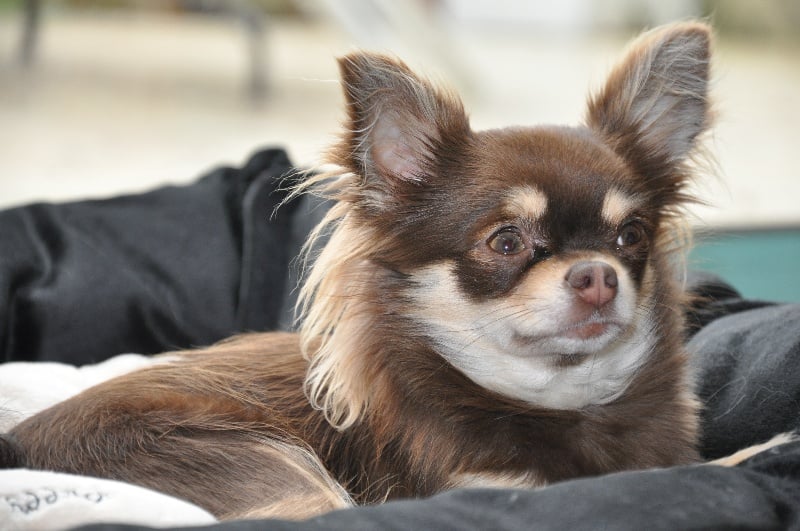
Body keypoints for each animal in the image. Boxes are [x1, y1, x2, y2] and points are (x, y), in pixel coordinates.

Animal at [2, 21, 712, 521]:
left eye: (630, 236)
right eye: (507, 242)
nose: (598, 275)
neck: (560, 400)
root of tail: (19, 444)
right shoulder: (476, 488)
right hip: (262, 464)